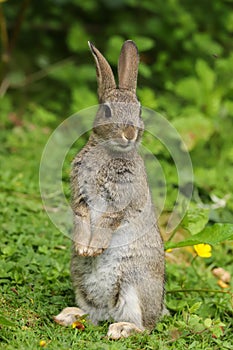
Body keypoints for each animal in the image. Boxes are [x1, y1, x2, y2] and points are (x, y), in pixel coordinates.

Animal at [54, 40, 167, 340]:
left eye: (139, 112)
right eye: (106, 110)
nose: (129, 133)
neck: (110, 152)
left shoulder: (121, 202)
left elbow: (108, 221)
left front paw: (93, 248)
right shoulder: (80, 196)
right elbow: (83, 216)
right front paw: (84, 248)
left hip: (134, 285)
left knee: (145, 328)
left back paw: (121, 329)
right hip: (80, 279)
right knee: (92, 316)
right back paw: (68, 316)